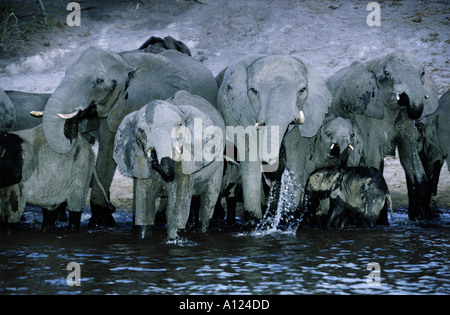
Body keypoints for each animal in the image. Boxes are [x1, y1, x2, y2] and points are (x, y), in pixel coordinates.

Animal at [42, 46, 218, 227]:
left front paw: (103, 220)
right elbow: (107, 150)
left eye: (99, 81)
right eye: (66, 72)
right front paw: (101, 220)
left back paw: (162, 217)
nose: (77, 114)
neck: (125, 62)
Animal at [112, 90, 225, 239]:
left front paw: (173, 240)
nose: (155, 157)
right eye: (141, 130)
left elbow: (175, 213)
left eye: (179, 126)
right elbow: (145, 210)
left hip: (218, 169)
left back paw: (203, 230)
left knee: (208, 204)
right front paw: (143, 238)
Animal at [216, 54, 332, 225]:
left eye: (302, 90)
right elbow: (250, 157)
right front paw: (253, 221)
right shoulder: (237, 112)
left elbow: (296, 154)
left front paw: (288, 218)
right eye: (254, 91)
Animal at [326, 50, 440, 221]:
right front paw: (381, 222)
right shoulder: (367, 114)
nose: (404, 97)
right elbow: (374, 158)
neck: (376, 63)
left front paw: (423, 218)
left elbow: (410, 159)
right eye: (386, 73)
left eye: (423, 73)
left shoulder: (405, 121)